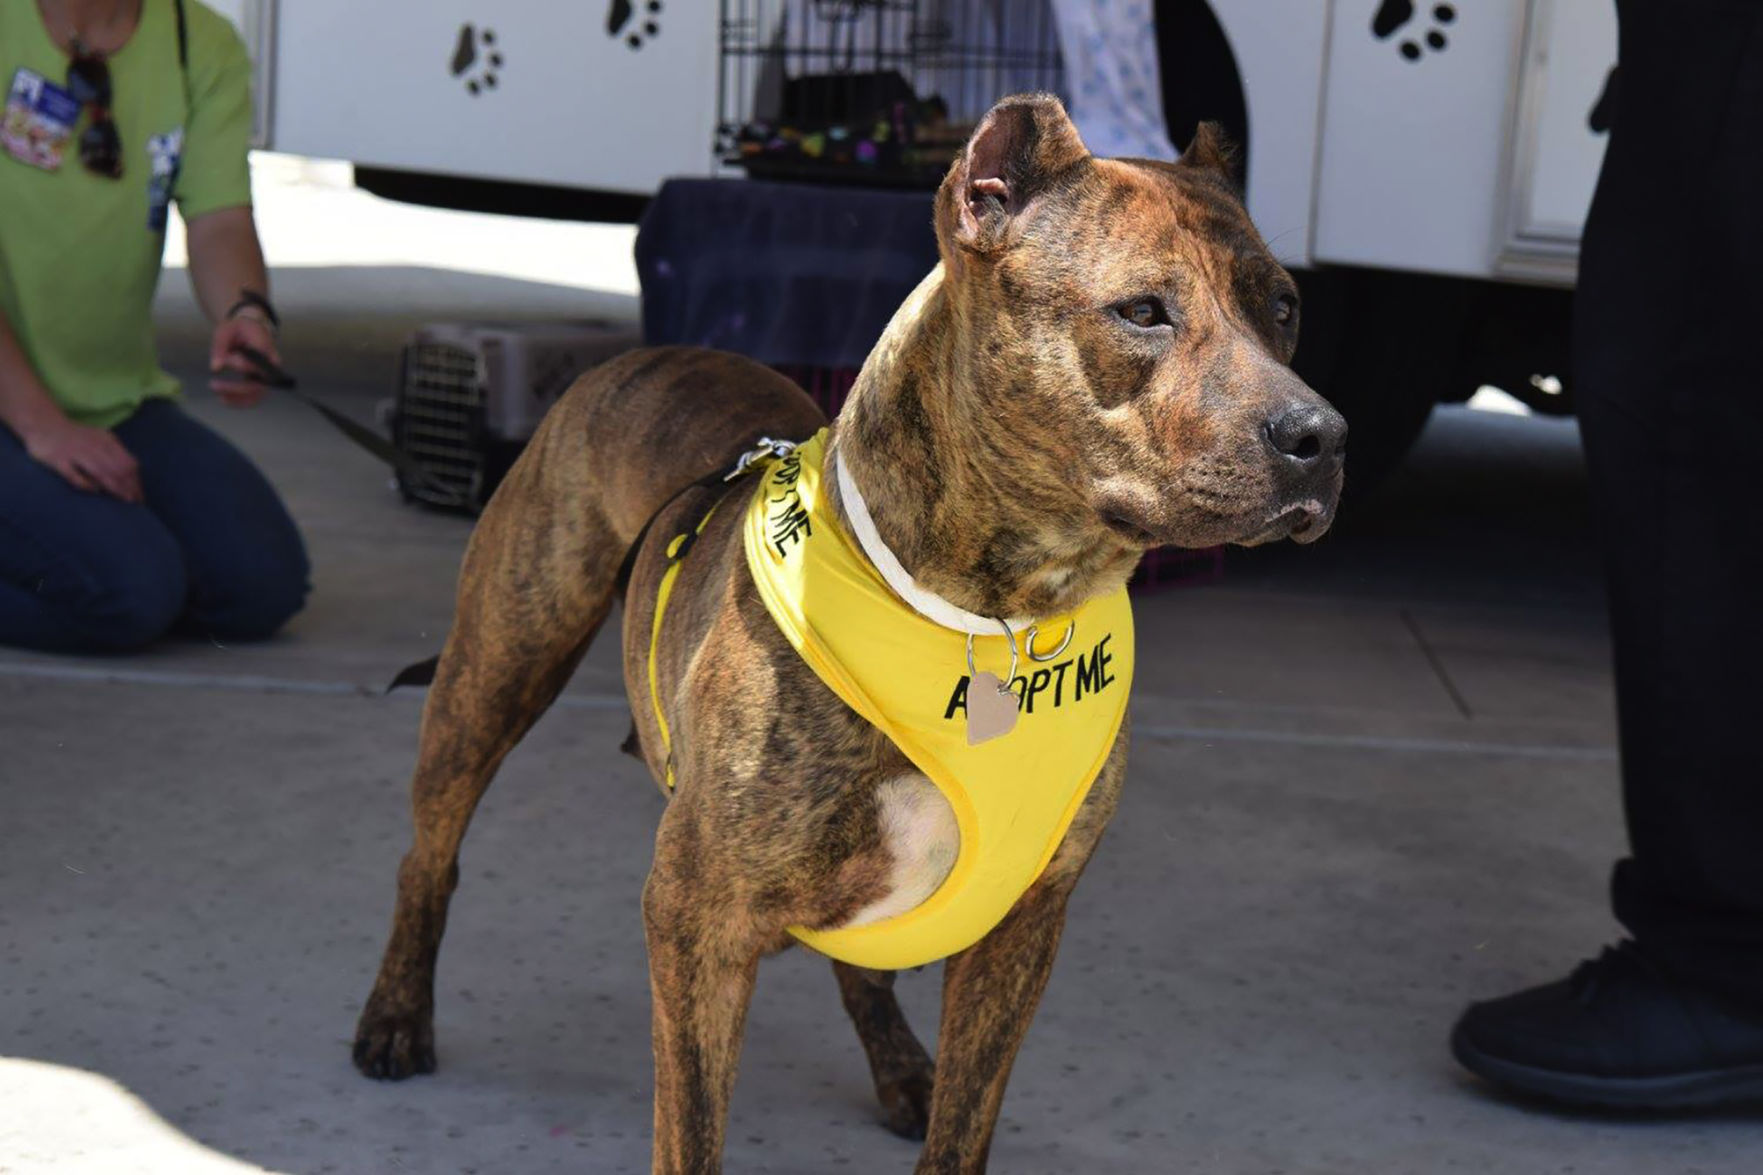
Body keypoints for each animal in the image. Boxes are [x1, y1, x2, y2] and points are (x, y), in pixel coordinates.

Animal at [351, 93, 1345, 1173]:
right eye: (1141, 311)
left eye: (1282, 306)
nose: (1321, 437)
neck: (995, 616)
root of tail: (643, 353)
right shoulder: (695, 919)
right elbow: (691, 1132)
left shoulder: (1024, 923)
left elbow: (961, 1125)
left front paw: (933, 1094)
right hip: (493, 673)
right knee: (429, 852)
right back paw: (395, 1013)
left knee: (863, 969)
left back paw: (902, 1067)